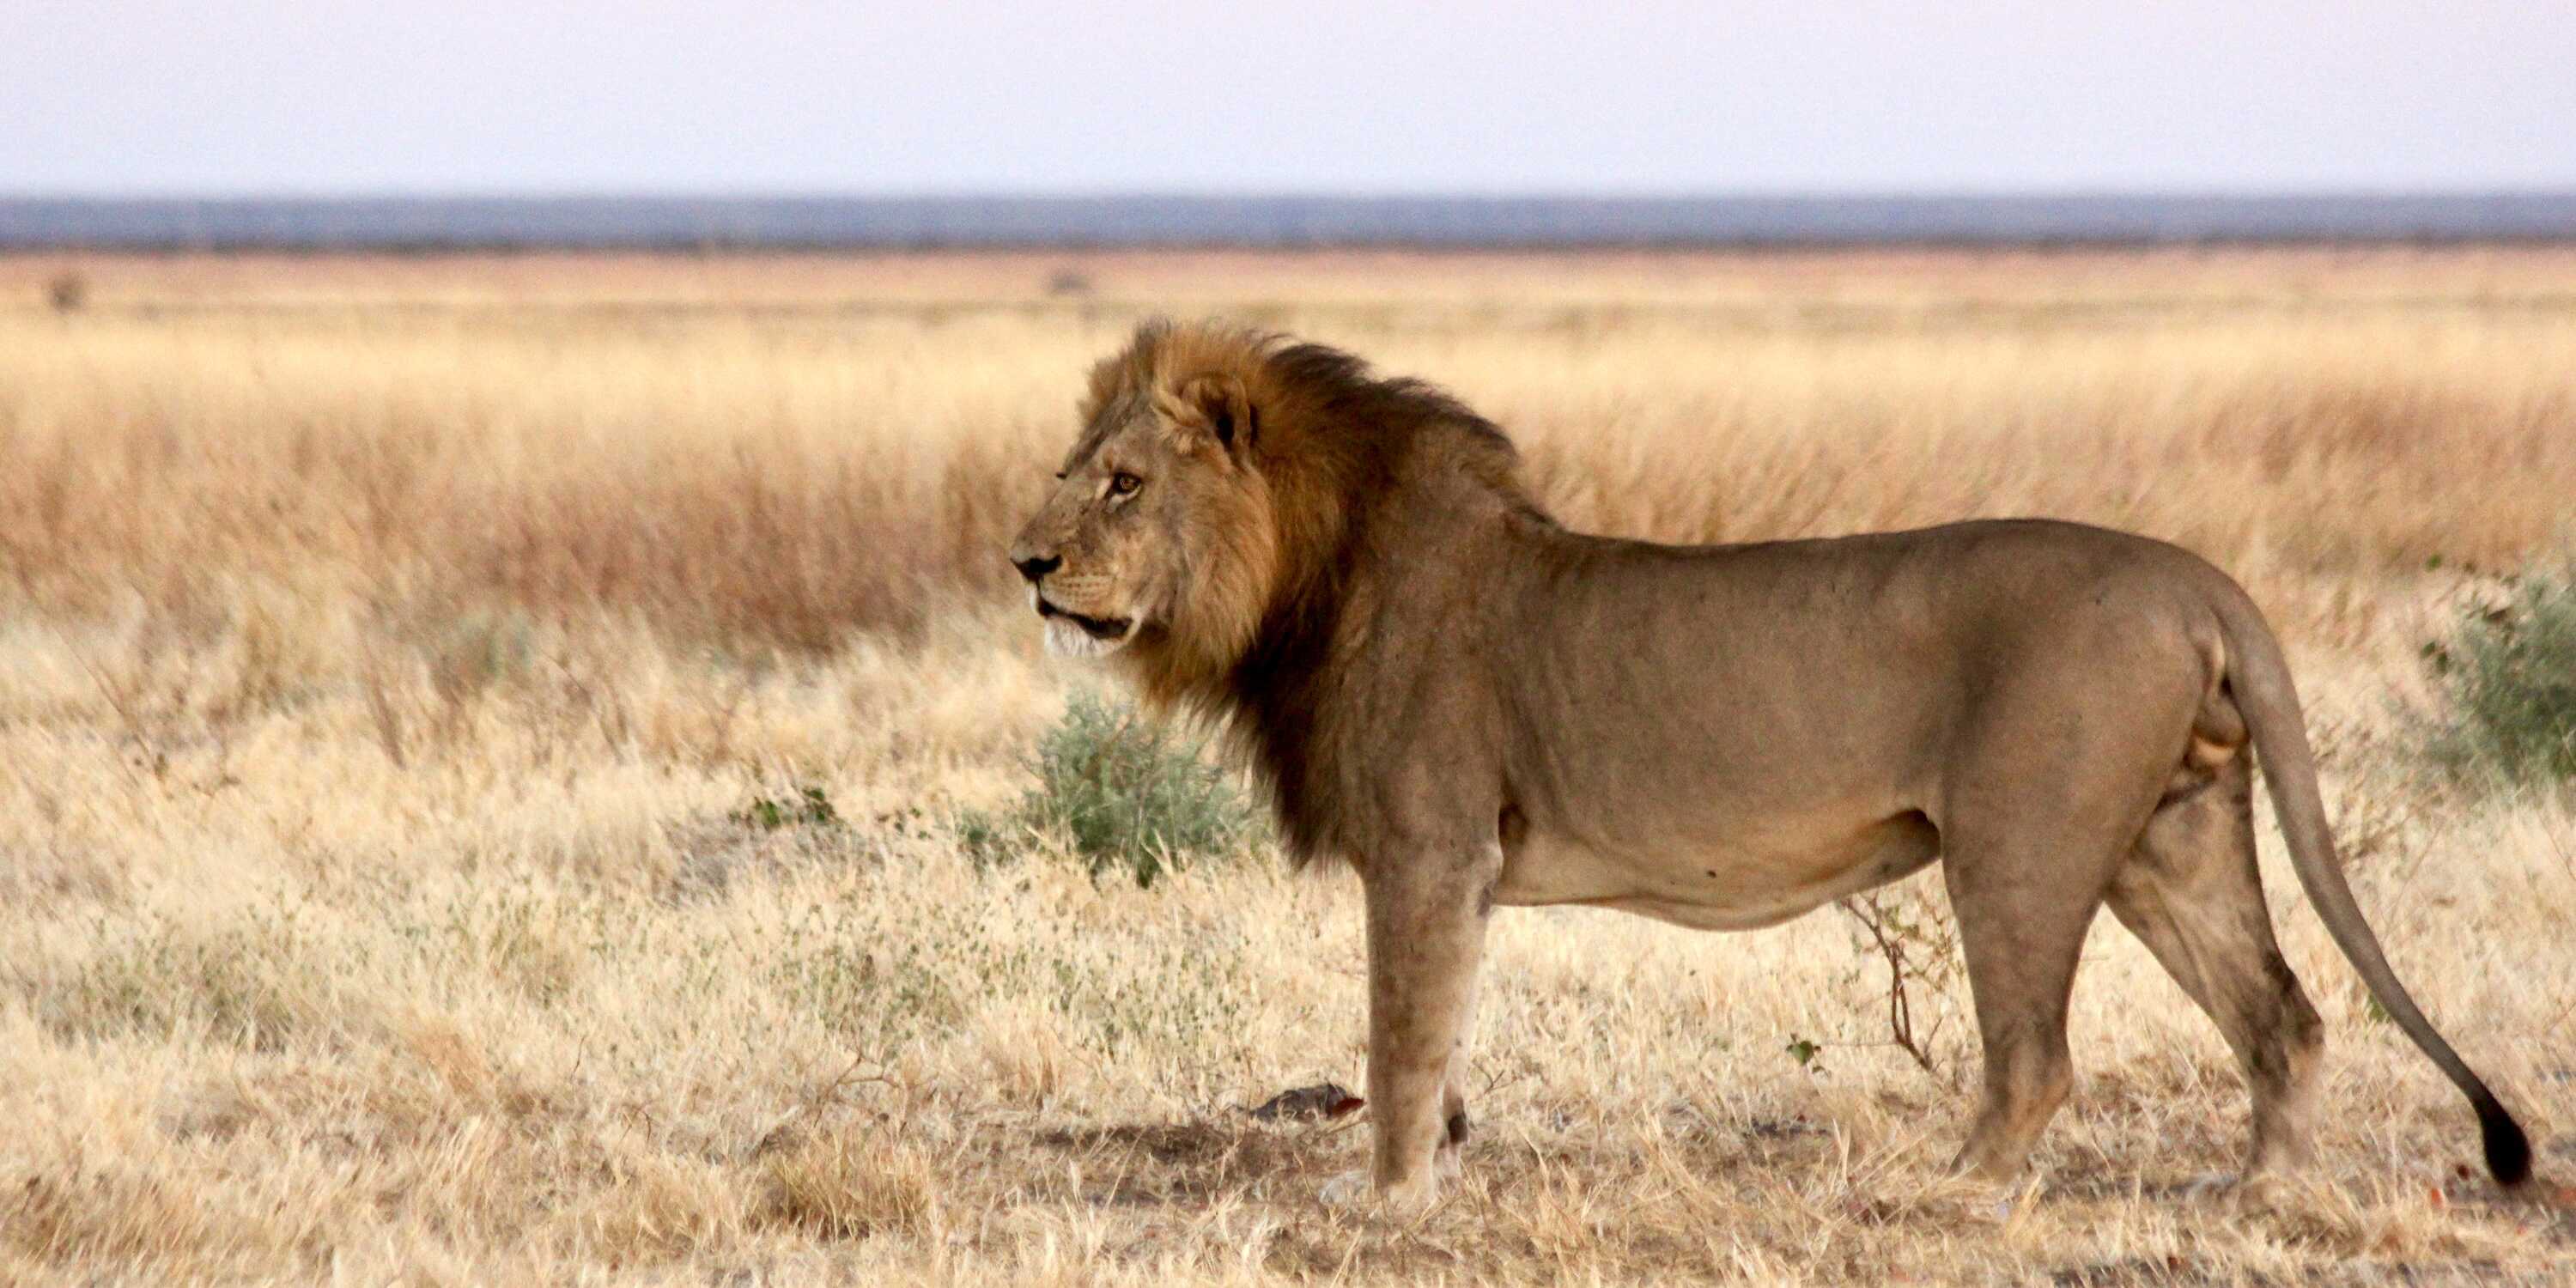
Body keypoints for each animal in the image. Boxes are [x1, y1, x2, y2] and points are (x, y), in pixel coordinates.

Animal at [1007, 320, 2532, 1209]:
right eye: (1077, 469)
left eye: (1124, 484)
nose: (1026, 565)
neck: (1302, 578)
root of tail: (2199, 578)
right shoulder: (1456, 875)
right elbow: (1437, 1050)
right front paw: (1423, 1173)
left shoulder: (1433, 850)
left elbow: (1399, 1040)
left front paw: (1379, 1205)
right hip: (2177, 831)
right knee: (2287, 1018)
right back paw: (2261, 1200)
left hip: (2021, 845)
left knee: (2038, 1059)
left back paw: (1943, 1197)